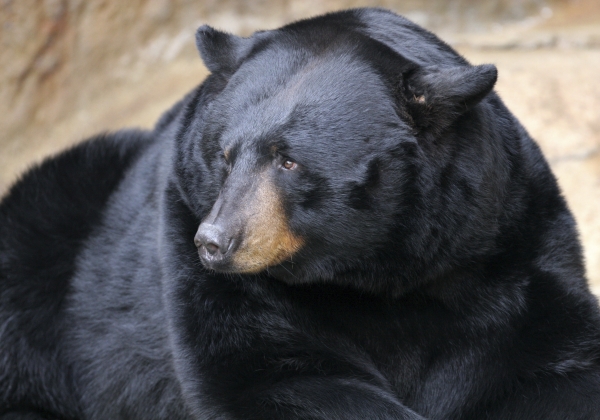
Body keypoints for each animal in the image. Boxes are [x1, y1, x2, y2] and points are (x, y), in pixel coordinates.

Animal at [1, 7, 600, 420]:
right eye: (225, 154)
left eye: (288, 160)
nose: (214, 241)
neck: (374, 274)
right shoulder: (194, 240)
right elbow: (272, 376)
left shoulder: (501, 246)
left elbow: (555, 363)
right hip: (59, 221)